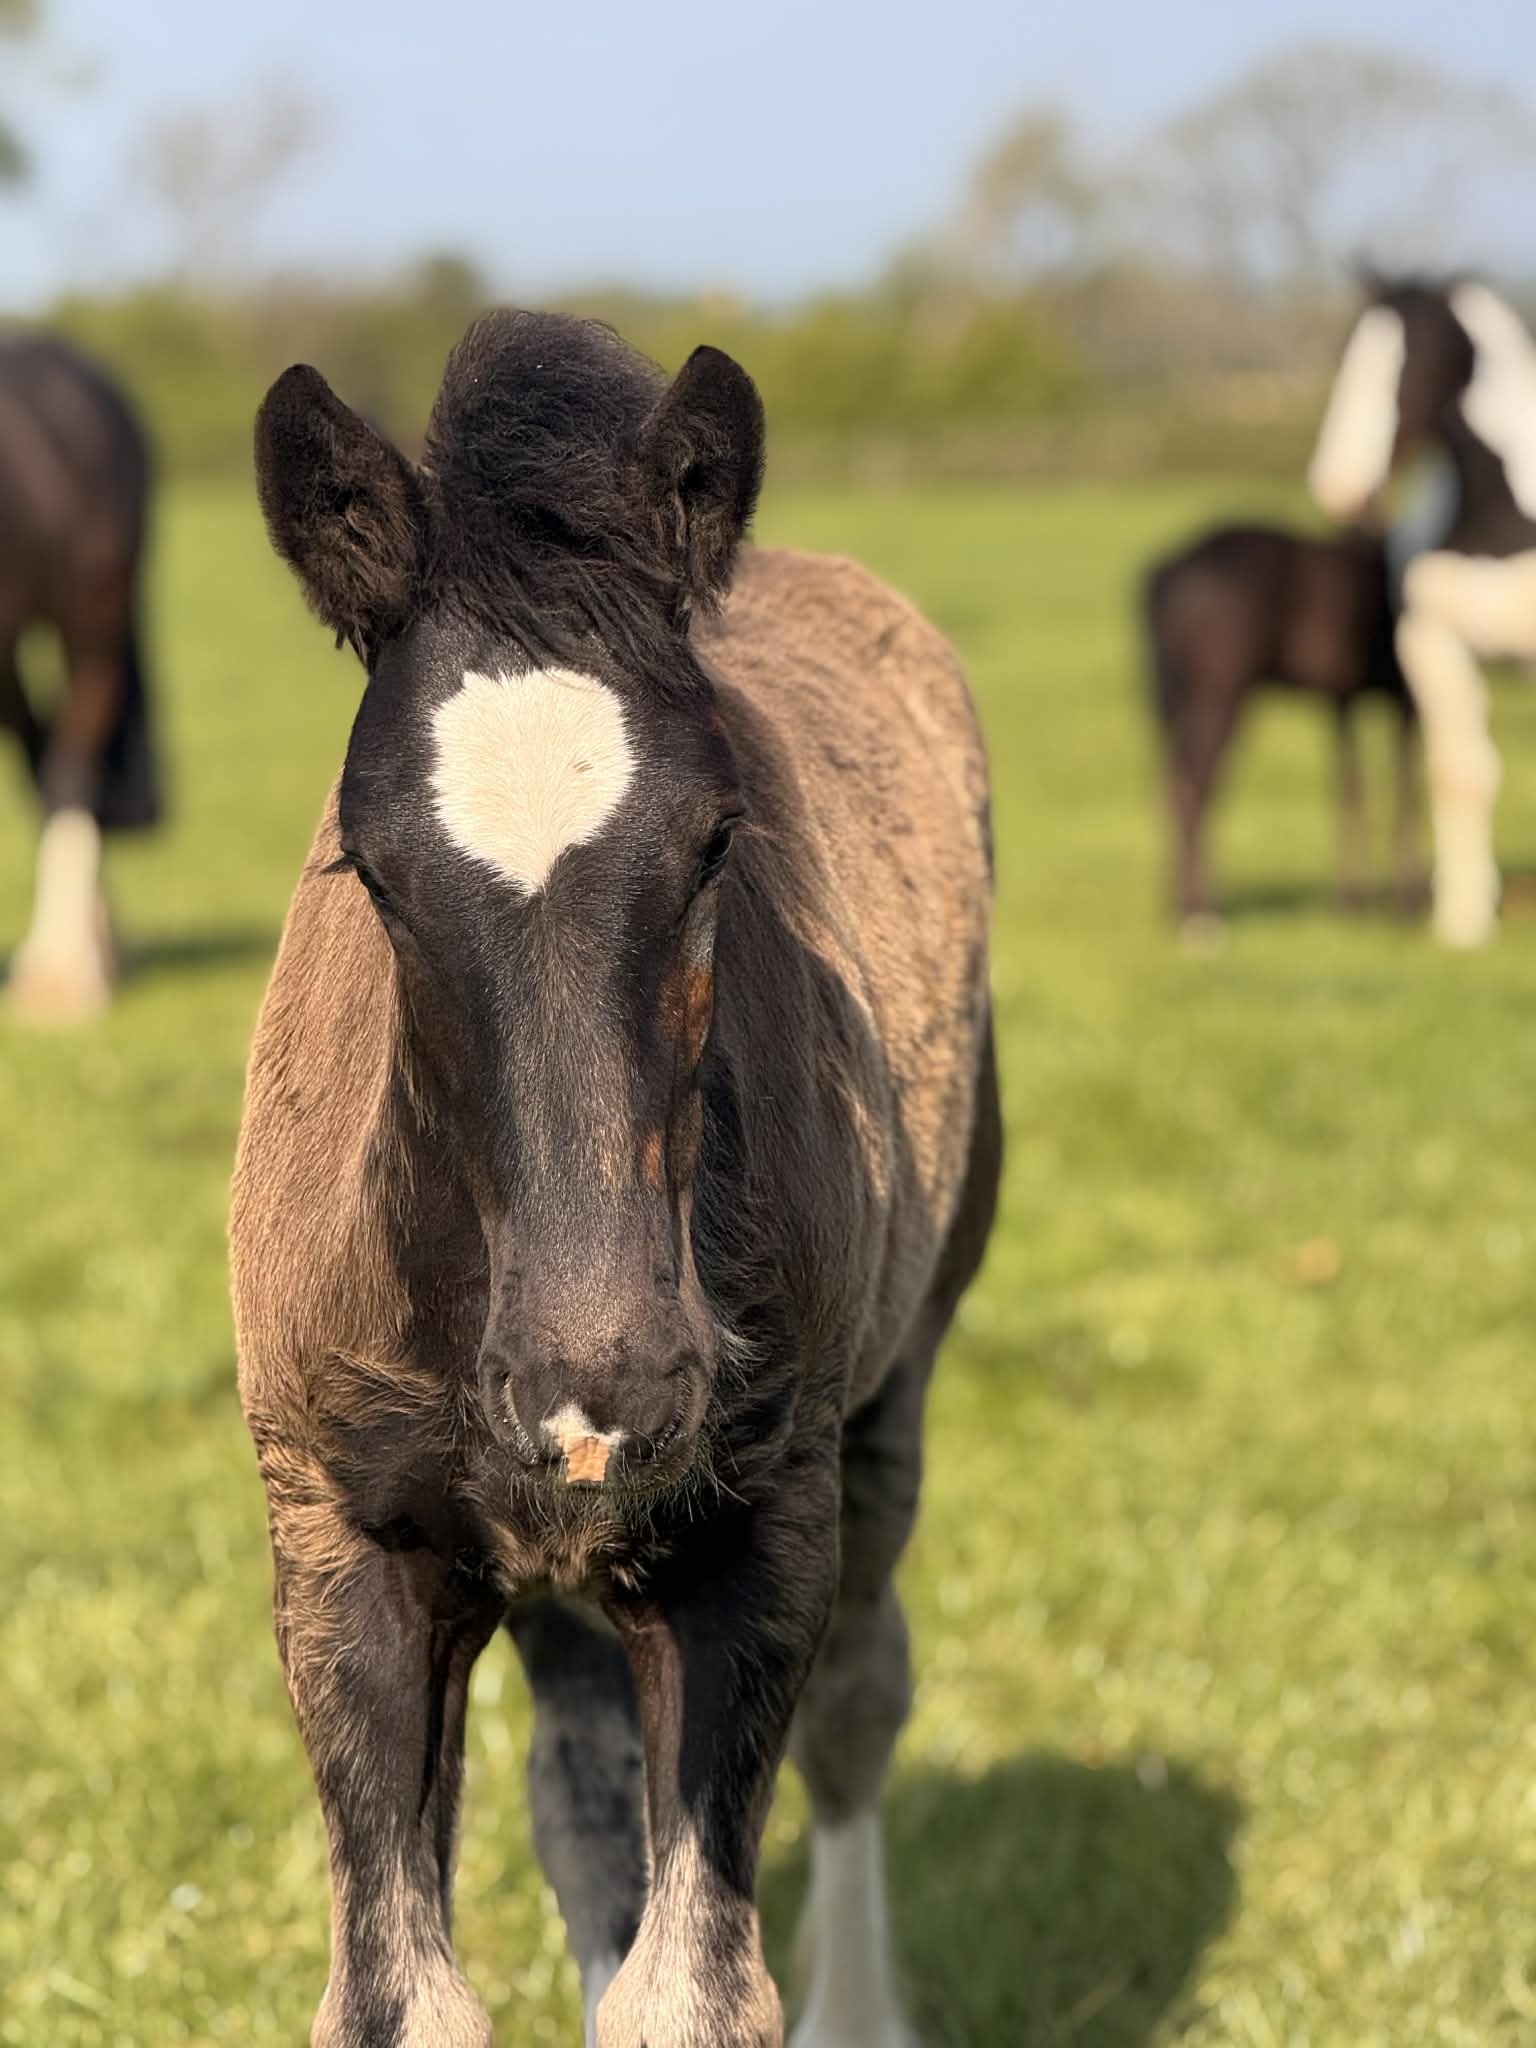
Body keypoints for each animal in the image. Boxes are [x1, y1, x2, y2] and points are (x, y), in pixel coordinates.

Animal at [230, 309, 1000, 2048]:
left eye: (720, 838)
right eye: (369, 869)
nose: (606, 1382)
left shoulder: (750, 1548)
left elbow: (695, 1987)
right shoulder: (339, 1550)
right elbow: (399, 1992)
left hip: (895, 1388)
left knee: (861, 1706)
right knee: (582, 1797)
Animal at [1144, 522, 1419, 926]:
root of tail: (1168, 567)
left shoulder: (1341, 699)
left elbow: (1350, 789)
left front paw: (1352, 902)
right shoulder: (1406, 695)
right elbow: (1404, 793)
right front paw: (1406, 903)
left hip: (1179, 703)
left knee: (1170, 785)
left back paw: (1177, 907)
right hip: (1219, 698)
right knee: (1192, 789)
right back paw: (1202, 915)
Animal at [1308, 272, 1536, 946]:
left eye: (1412, 360)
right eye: (1348, 354)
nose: (1338, 487)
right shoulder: (1431, 645)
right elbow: (1459, 775)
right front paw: (1462, 917)